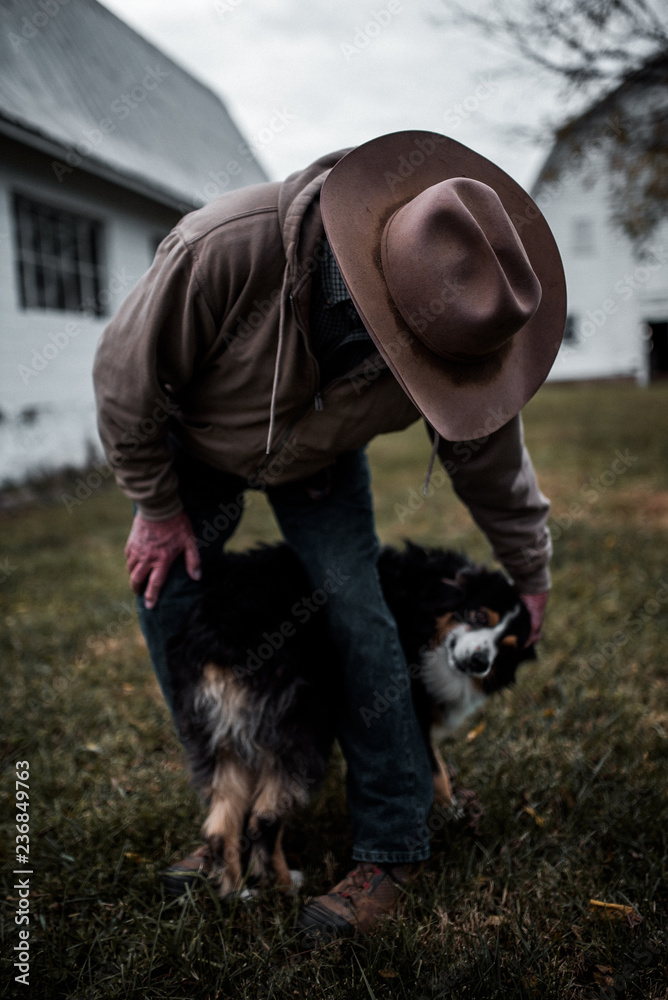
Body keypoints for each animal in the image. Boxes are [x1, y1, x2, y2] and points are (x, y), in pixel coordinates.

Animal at [168, 544, 536, 896]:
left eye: (507, 648)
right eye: (477, 614)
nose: (479, 662)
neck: (427, 602)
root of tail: (220, 631)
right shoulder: (410, 705)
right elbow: (436, 770)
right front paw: (452, 813)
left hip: (218, 735)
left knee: (220, 826)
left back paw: (235, 895)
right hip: (305, 731)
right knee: (264, 819)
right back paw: (286, 887)